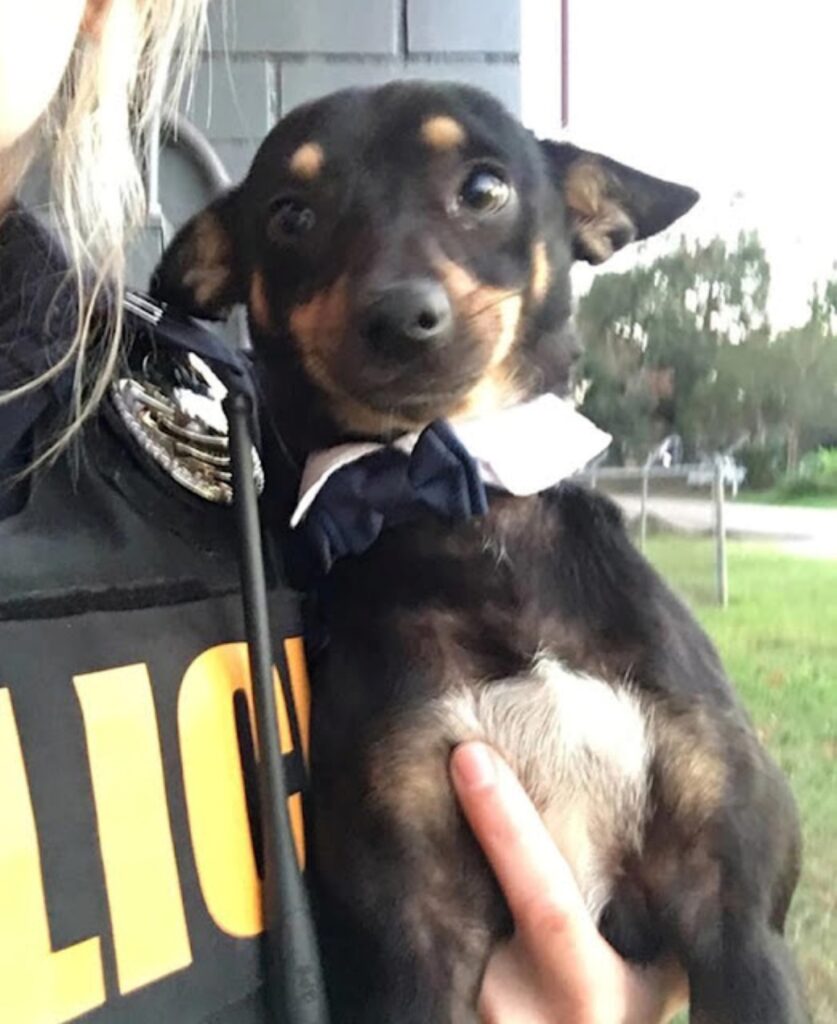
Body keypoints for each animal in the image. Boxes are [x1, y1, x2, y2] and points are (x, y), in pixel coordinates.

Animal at [153, 81, 807, 1024]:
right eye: (288, 215)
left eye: (485, 188)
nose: (399, 317)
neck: (469, 516)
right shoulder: (414, 931)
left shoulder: (735, 910)